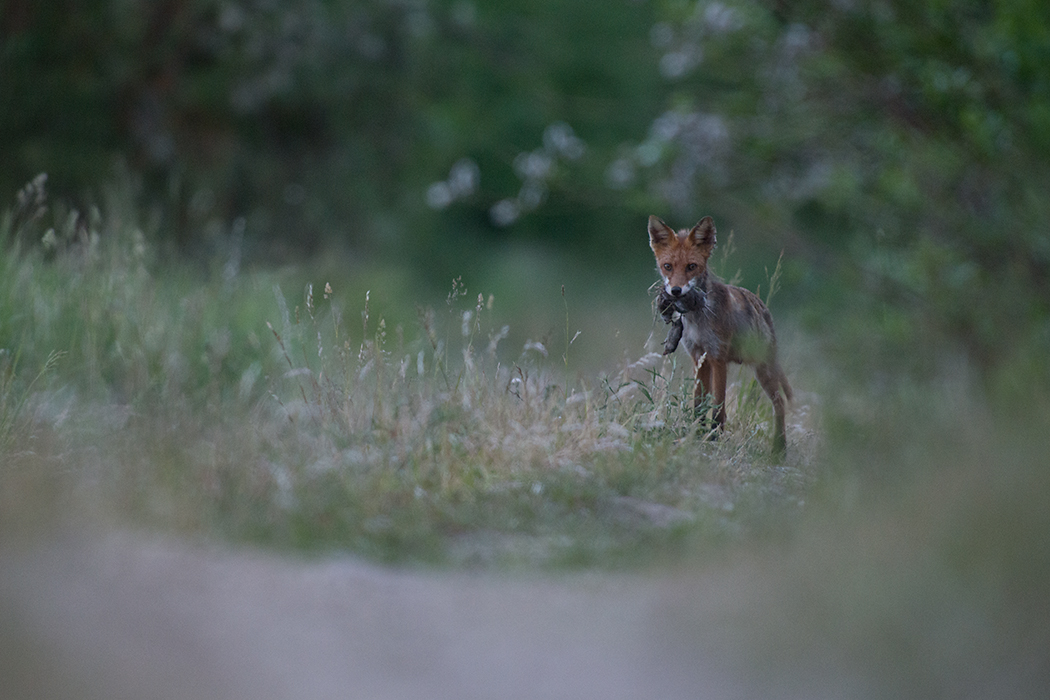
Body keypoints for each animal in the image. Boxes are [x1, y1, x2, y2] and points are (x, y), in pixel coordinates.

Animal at [642, 216, 789, 457]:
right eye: (668, 266)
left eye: (691, 267)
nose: (675, 291)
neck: (697, 319)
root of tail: (762, 306)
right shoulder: (699, 357)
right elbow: (699, 403)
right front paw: (697, 433)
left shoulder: (718, 357)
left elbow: (719, 406)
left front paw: (713, 437)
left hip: (763, 369)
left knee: (780, 404)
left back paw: (780, 448)